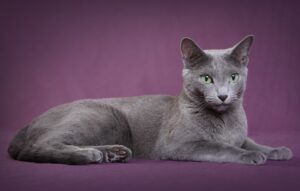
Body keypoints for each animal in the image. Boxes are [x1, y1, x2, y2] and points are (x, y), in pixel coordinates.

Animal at [7, 35, 292, 164]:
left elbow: (249, 141)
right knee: (38, 146)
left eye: (233, 77)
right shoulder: (179, 144)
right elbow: (222, 148)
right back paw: (91, 155)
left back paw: (114, 153)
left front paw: (277, 150)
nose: (223, 96)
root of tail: (28, 124)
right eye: (207, 79)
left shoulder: (240, 134)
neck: (225, 120)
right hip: (102, 114)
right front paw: (251, 156)